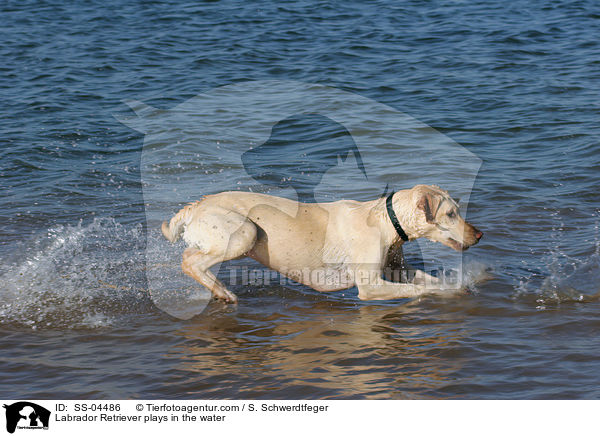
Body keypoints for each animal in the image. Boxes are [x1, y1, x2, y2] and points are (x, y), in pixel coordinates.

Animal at [162, 184, 480, 304]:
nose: (479, 235)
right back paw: (223, 291)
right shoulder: (371, 287)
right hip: (245, 232)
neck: (386, 222)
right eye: (450, 214)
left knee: (194, 255)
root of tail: (194, 207)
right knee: (189, 262)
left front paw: (456, 285)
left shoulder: (396, 269)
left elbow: (427, 279)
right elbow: (418, 289)